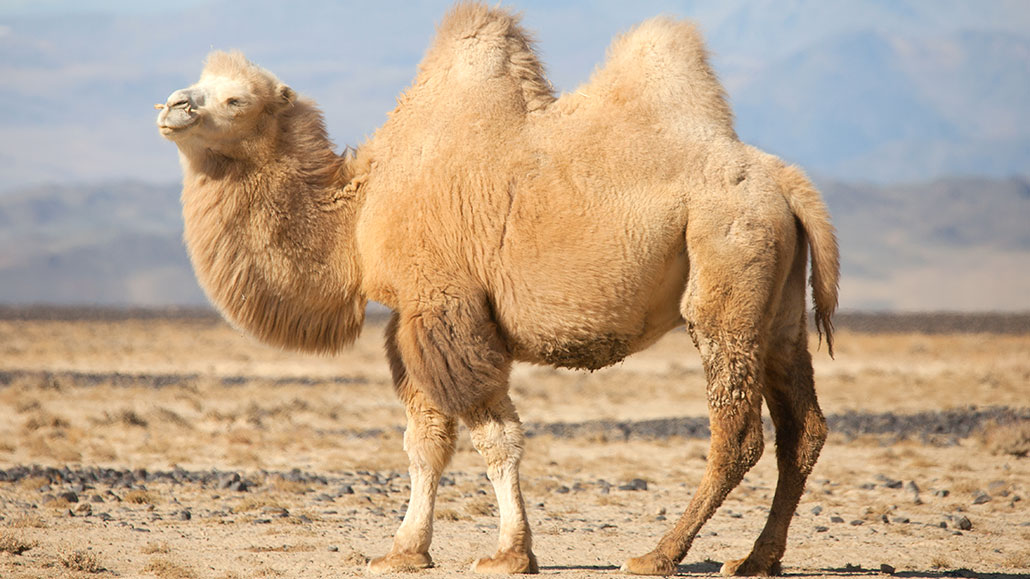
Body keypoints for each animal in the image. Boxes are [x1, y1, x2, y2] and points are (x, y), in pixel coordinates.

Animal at [156, 4, 838, 576]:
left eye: (235, 98)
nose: (172, 105)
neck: (359, 210)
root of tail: (786, 181)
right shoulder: (412, 318)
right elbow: (425, 441)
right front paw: (405, 551)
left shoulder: (448, 306)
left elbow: (494, 437)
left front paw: (511, 554)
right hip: (778, 305)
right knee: (803, 429)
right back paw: (757, 559)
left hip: (727, 265)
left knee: (738, 430)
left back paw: (658, 555)